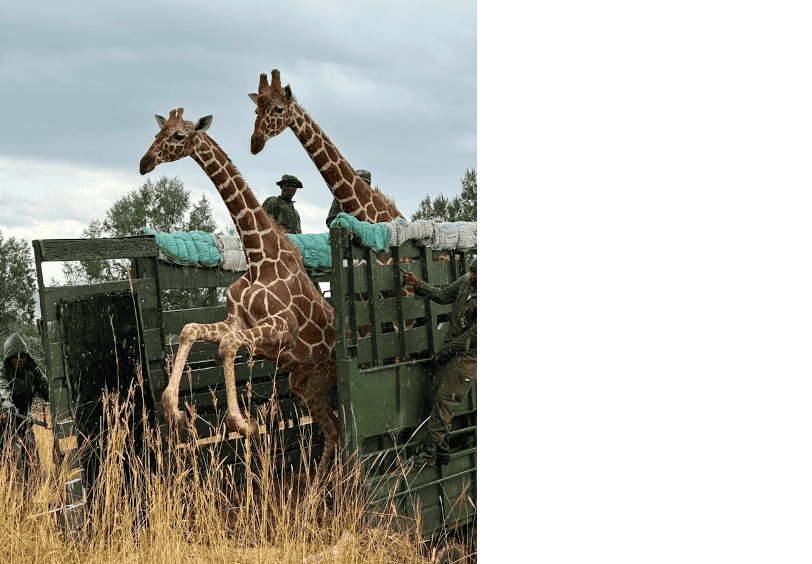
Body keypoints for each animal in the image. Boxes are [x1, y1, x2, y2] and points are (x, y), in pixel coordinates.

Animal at [139, 108, 339, 474]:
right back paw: (318, 485)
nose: (145, 163)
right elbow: (190, 329)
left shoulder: (281, 328)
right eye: (158, 132)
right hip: (305, 385)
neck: (258, 256)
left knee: (337, 428)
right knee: (332, 430)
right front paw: (174, 409)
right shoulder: (236, 323)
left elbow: (229, 346)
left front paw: (244, 424)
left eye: (178, 135)